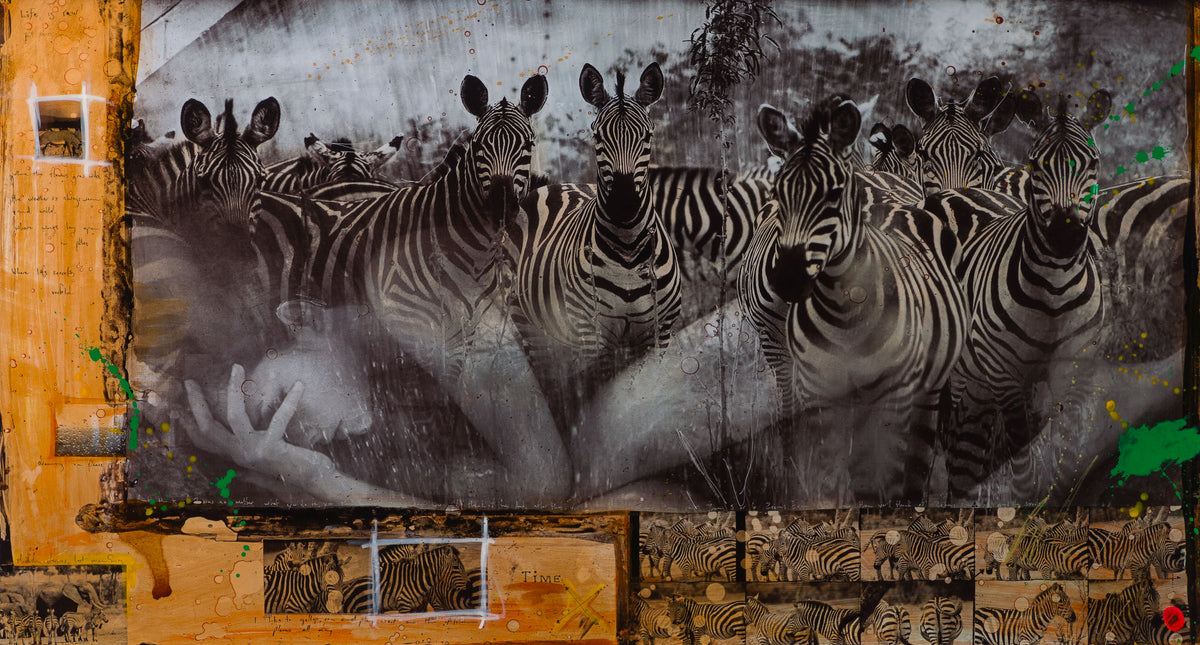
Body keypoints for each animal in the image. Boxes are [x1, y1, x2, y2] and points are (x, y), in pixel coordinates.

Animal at [510, 61, 682, 387]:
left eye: (647, 137)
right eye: (598, 137)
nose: (624, 203)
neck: (629, 249)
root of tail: (549, 187)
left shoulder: (660, 332)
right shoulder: (593, 335)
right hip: (529, 326)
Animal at [943, 88, 1112, 504]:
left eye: (1093, 162)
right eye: (1037, 164)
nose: (1065, 236)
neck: (1054, 287)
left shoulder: (1075, 374)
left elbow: (1067, 451)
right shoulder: (1006, 376)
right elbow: (1022, 465)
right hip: (963, 374)